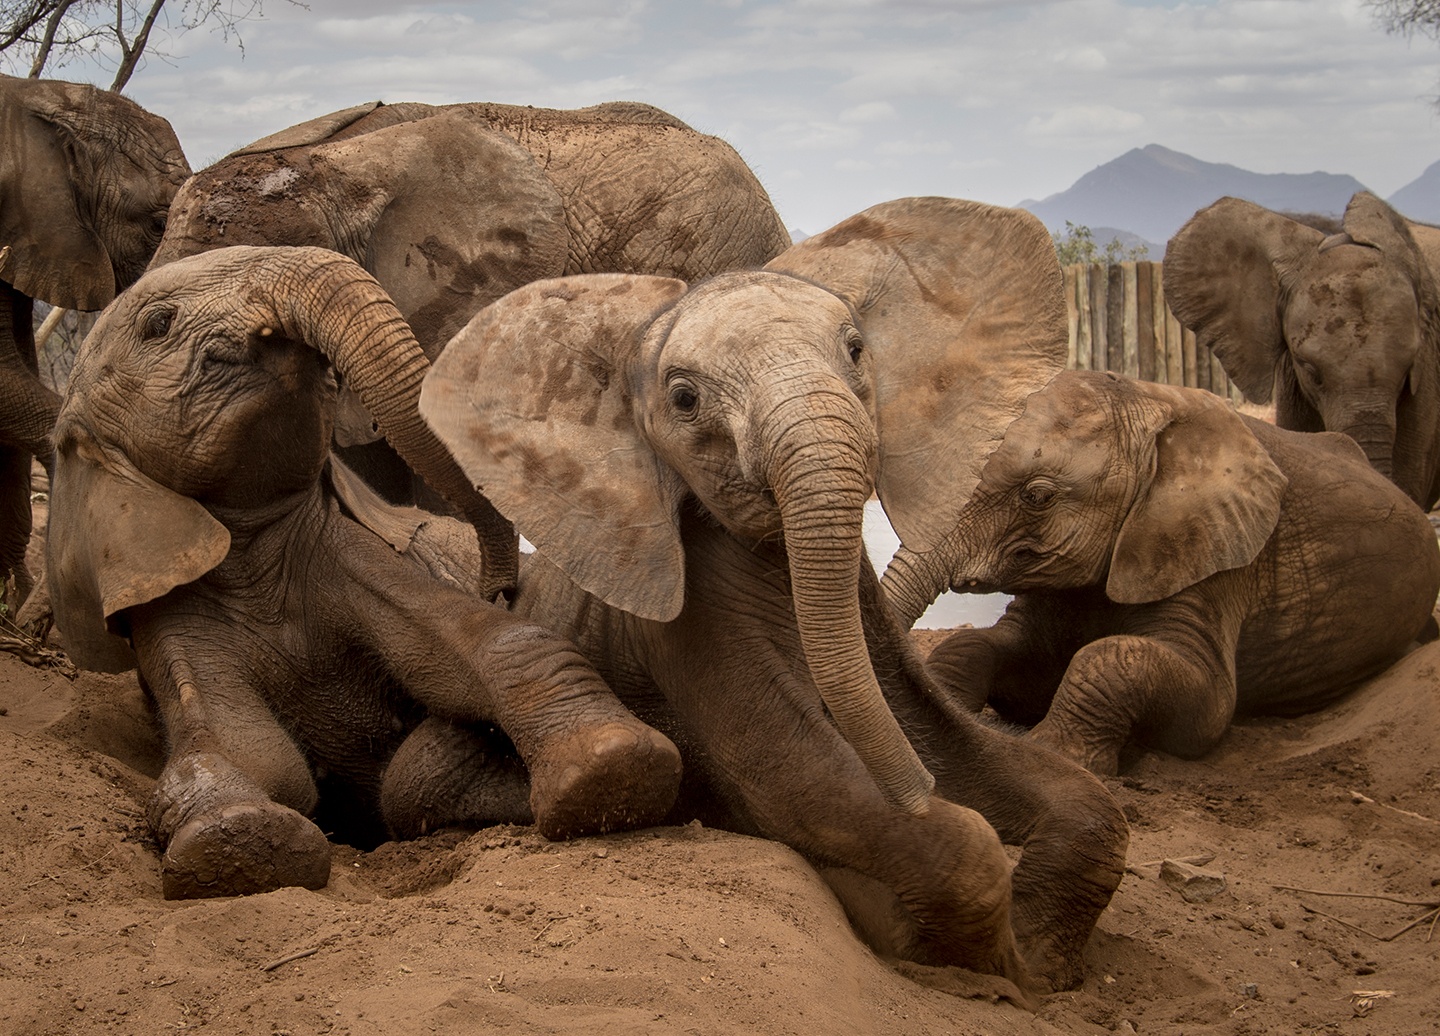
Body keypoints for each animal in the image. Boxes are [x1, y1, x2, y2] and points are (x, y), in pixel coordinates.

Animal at [39, 243, 679, 899]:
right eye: (159, 324)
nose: (500, 585)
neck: (252, 547)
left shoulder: (349, 556)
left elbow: (495, 646)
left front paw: (612, 773)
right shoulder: (167, 606)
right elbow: (255, 754)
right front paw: (240, 847)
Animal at [420, 195, 1128, 997]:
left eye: (856, 350)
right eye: (684, 399)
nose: (918, 788)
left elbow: (1028, 776)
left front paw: (1043, 959)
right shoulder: (686, 634)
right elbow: (796, 778)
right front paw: (985, 959)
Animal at [875, 371, 1440, 778]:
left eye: (1037, 496)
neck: (1148, 409)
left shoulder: (1217, 559)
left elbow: (1194, 699)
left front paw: (1058, 759)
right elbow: (983, 649)